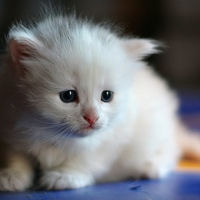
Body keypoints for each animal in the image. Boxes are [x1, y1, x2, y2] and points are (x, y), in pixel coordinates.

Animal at [0, 13, 200, 191]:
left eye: (107, 96)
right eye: (68, 96)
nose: (92, 118)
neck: (52, 135)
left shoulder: (110, 141)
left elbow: (84, 160)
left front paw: (65, 176)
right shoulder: (10, 131)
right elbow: (16, 158)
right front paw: (11, 177)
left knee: (171, 151)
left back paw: (150, 166)